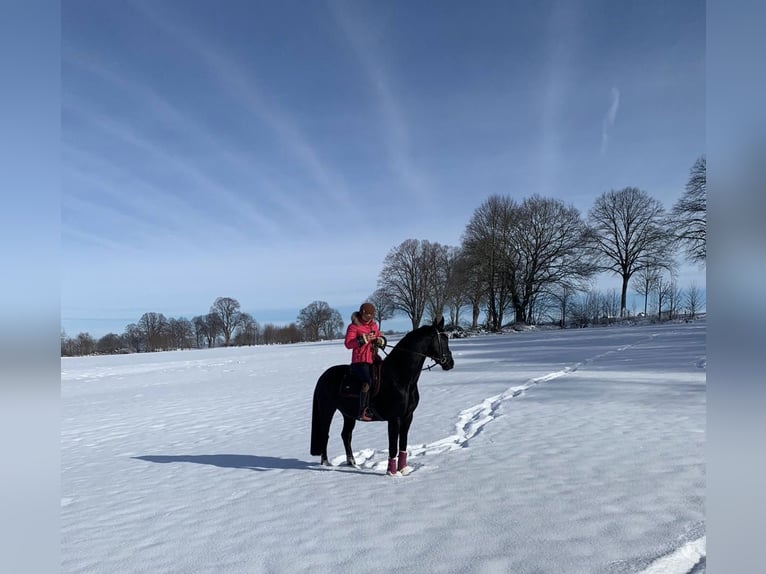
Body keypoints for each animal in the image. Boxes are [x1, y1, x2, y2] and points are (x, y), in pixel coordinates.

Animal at [312, 318, 456, 474]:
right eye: (442, 339)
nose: (450, 363)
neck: (400, 377)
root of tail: (323, 376)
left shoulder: (408, 416)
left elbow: (403, 443)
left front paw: (403, 470)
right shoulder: (394, 418)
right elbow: (393, 445)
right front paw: (391, 473)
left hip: (348, 414)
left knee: (346, 435)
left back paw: (352, 463)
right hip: (327, 410)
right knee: (324, 434)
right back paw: (325, 464)